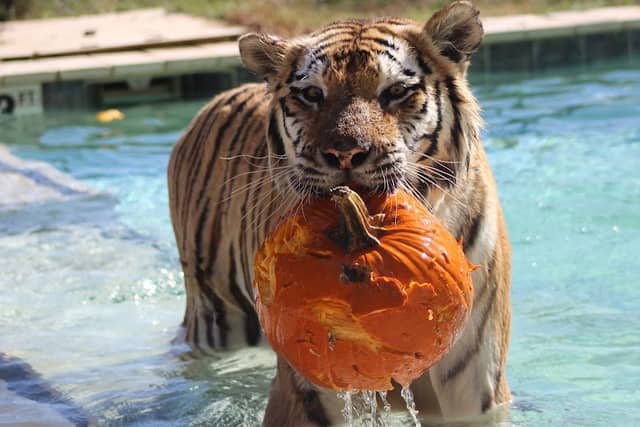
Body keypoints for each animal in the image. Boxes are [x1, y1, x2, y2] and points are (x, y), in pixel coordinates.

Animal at [167, 1, 511, 425]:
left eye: (396, 92)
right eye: (313, 94)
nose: (344, 153)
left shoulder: (473, 392)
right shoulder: (308, 389)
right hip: (214, 314)